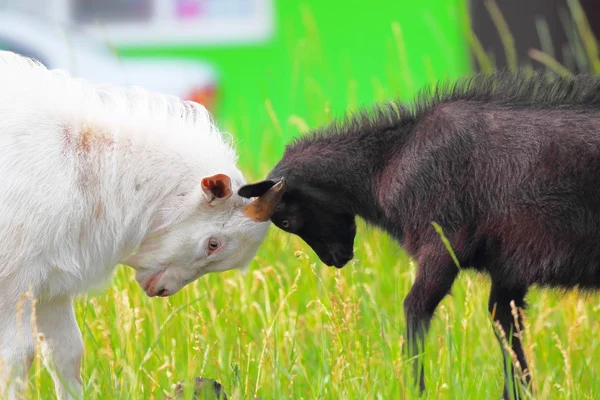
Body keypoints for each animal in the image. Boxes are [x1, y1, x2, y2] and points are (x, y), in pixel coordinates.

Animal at [0, 51, 274, 398]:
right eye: (213, 244)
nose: (163, 290)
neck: (94, 170)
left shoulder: (51, 281)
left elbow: (66, 354)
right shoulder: (13, 281)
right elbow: (17, 358)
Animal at [239, 70, 600, 398]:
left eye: (285, 220)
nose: (334, 260)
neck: (387, 163)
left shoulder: (441, 245)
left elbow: (415, 310)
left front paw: (416, 388)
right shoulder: (508, 268)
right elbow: (506, 329)